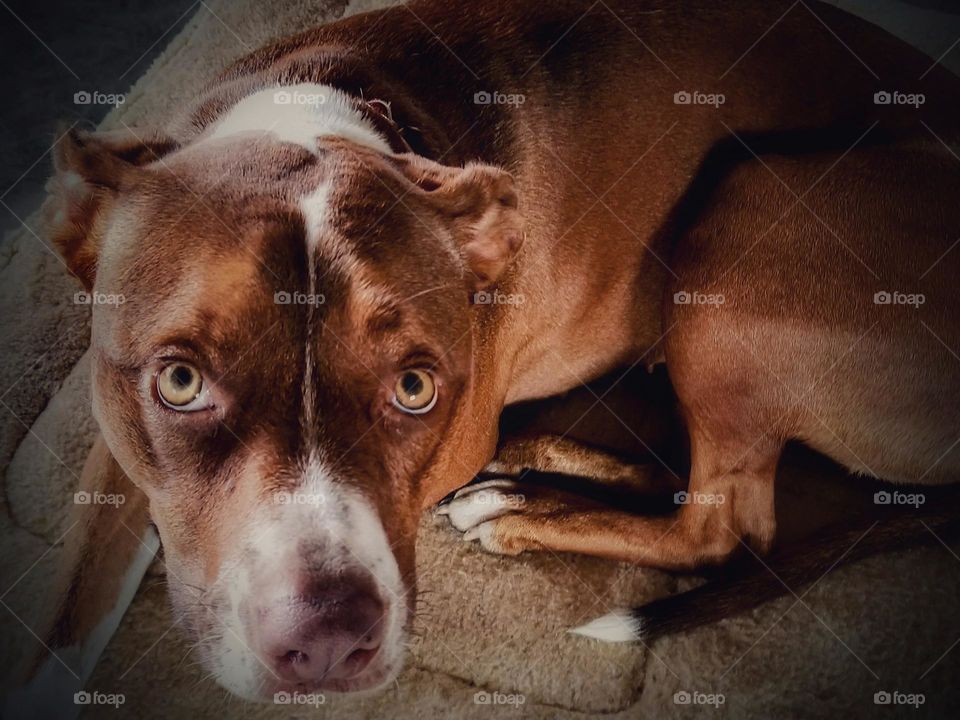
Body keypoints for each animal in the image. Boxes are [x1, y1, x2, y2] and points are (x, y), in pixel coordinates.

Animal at [7, 0, 960, 712]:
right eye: (179, 380)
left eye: (415, 387)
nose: (327, 645)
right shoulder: (118, 443)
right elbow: (61, 623)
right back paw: (528, 475)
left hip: (749, 219)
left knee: (723, 524)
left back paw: (520, 511)